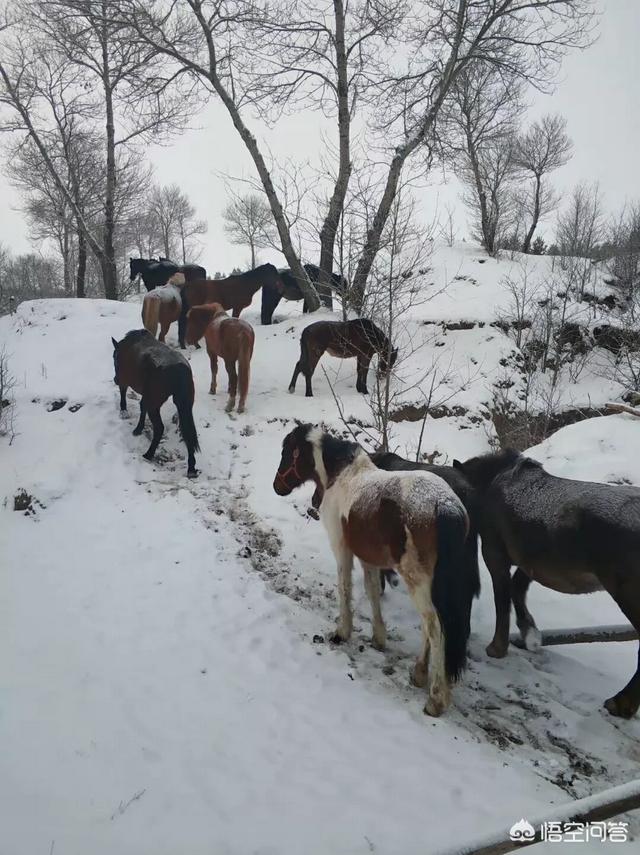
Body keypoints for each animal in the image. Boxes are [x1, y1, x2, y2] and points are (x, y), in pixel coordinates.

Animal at [111, 330, 199, 478]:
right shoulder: (146, 396)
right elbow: (142, 407)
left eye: (115, 358)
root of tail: (179, 369)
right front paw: (138, 429)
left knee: (159, 428)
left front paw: (124, 413)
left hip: (155, 404)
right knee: (187, 433)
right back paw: (191, 467)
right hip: (184, 404)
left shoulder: (125, 379)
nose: (115, 379)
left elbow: (124, 394)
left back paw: (148, 454)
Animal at [274, 424, 470, 720]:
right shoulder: (368, 557)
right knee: (431, 625)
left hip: (417, 580)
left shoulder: (342, 549)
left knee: (435, 627)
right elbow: (372, 591)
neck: (341, 476)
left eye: (287, 452)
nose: (277, 487)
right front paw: (379, 637)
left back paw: (435, 699)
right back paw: (419, 674)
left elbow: (345, 587)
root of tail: (445, 505)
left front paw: (342, 632)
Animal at [452, 452, 640, 720]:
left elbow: (503, 601)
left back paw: (620, 703)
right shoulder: (530, 562)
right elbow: (517, 592)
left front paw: (497, 648)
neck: (488, 485)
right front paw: (530, 633)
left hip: (626, 593)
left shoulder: (495, 554)